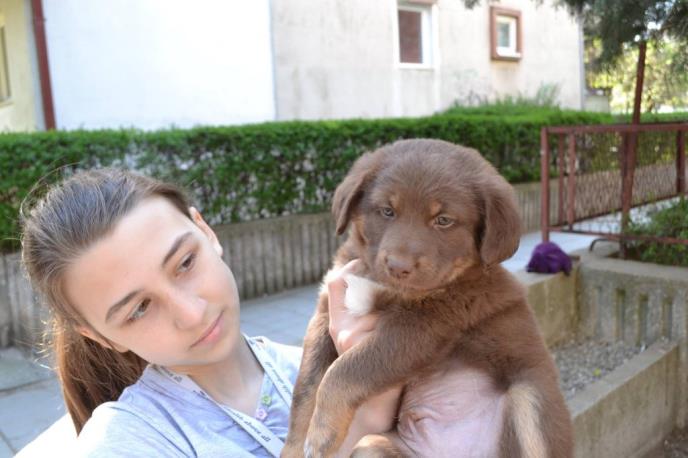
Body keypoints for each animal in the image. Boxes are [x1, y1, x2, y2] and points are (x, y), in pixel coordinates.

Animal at [282, 139, 573, 457]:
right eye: (387, 211)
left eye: (443, 220)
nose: (398, 267)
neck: (378, 280)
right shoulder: (325, 313)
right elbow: (306, 387)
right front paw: (294, 447)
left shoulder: (424, 326)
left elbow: (345, 370)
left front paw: (321, 434)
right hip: (371, 444)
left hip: (531, 396)